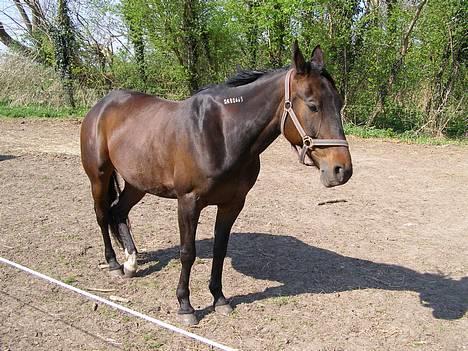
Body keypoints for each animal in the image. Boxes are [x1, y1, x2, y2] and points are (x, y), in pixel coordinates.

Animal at [80, 42, 352, 328]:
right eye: (313, 106)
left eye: (338, 103)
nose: (341, 170)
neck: (221, 133)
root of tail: (102, 106)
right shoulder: (188, 203)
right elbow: (187, 252)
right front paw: (185, 306)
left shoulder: (232, 204)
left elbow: (220, 250)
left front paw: (219, 299)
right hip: (99, 177)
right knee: (102, 215)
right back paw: (113, 263)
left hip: (138, 183)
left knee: (119, 212)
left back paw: (130, 263)